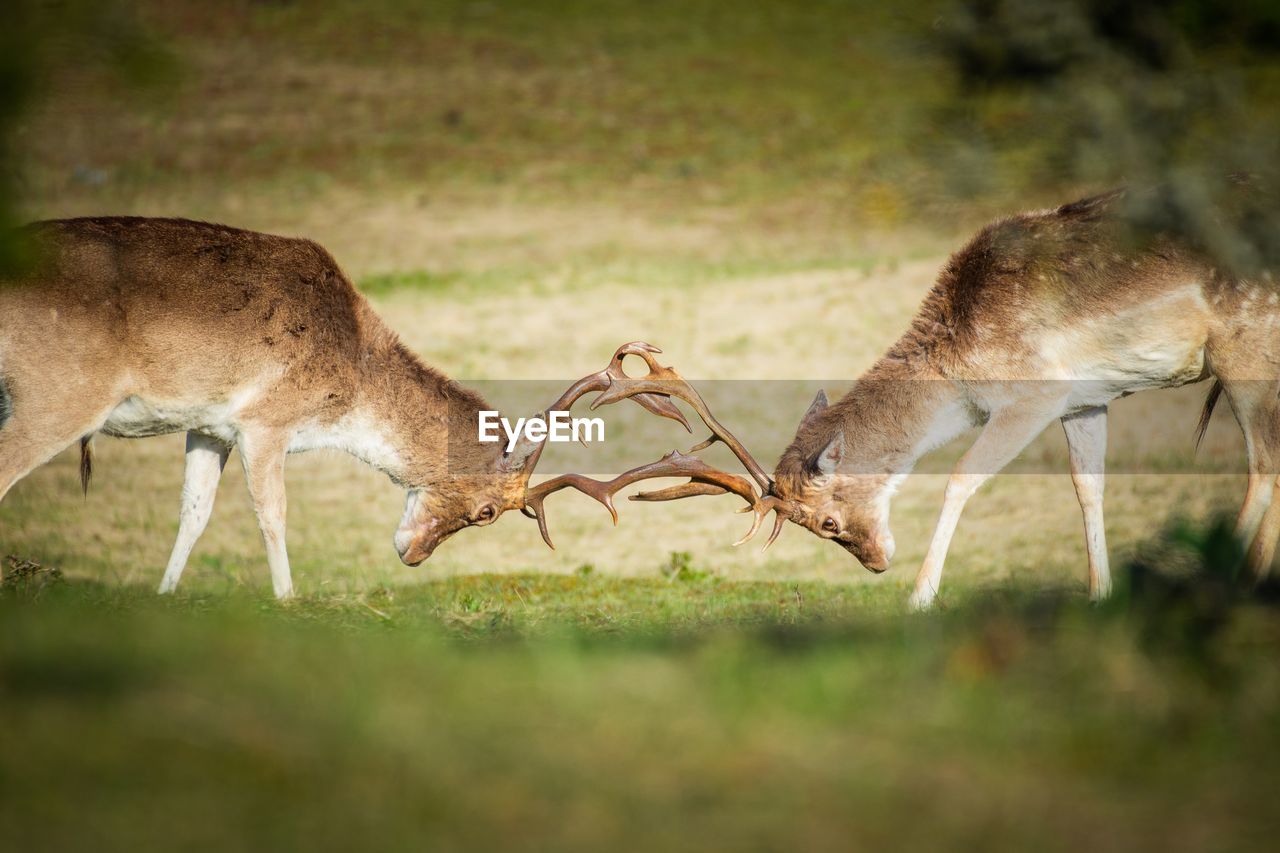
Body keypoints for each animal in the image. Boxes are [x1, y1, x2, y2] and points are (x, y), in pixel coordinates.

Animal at [0, 216, 768, 596]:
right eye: (487, 514)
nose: (413, 553)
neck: (351, 381)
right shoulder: (266, 418)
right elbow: (272, 514)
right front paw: (289, 600)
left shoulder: (209, 424)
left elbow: (194, 513)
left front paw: (163, 598)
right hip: (56, 391)